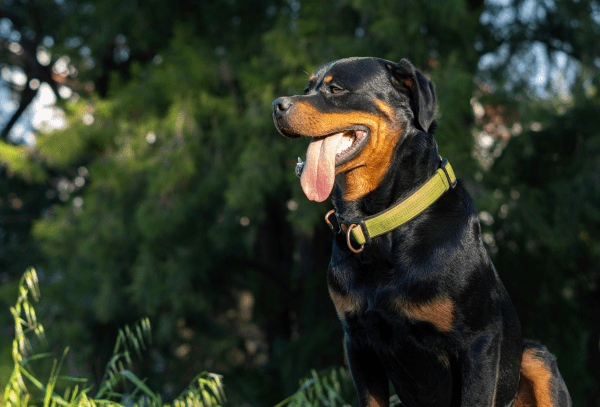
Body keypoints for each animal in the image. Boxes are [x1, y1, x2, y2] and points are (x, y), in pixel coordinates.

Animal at [272, 57, 572, 407]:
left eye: (336, 89)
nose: (277, 105)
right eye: (307, 88)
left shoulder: (479, 342)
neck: (382, 225)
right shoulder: (358, 344)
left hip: (536, 356)